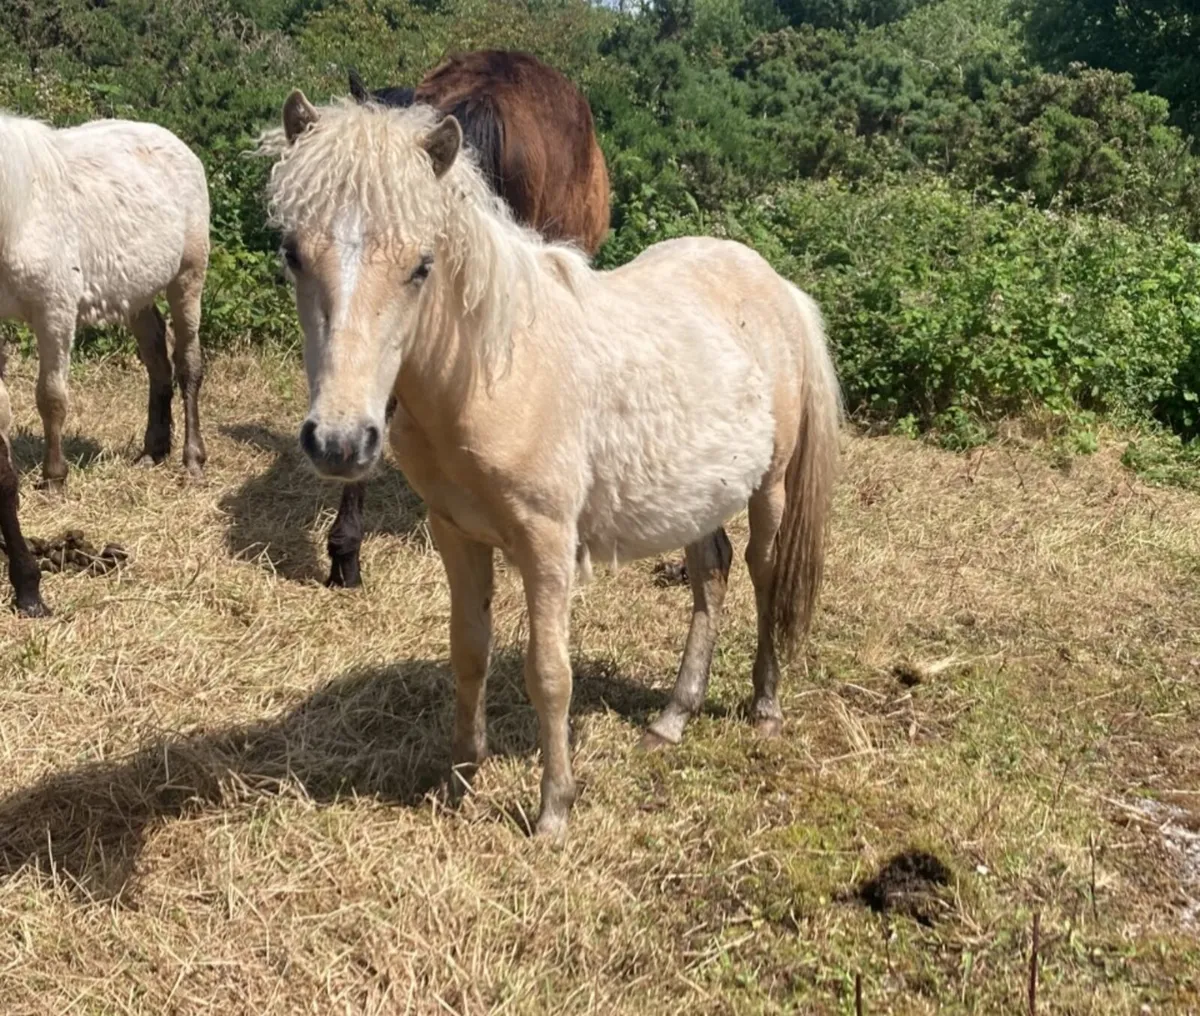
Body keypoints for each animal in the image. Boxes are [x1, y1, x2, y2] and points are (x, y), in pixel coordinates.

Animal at [0, 112, 210, 501]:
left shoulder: (55, 313)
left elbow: (51, 398)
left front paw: (54, 478)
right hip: (136, 293)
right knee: (157, 360)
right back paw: (153, 450)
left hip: (188, 279)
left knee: (188, 365)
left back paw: (193, 460)